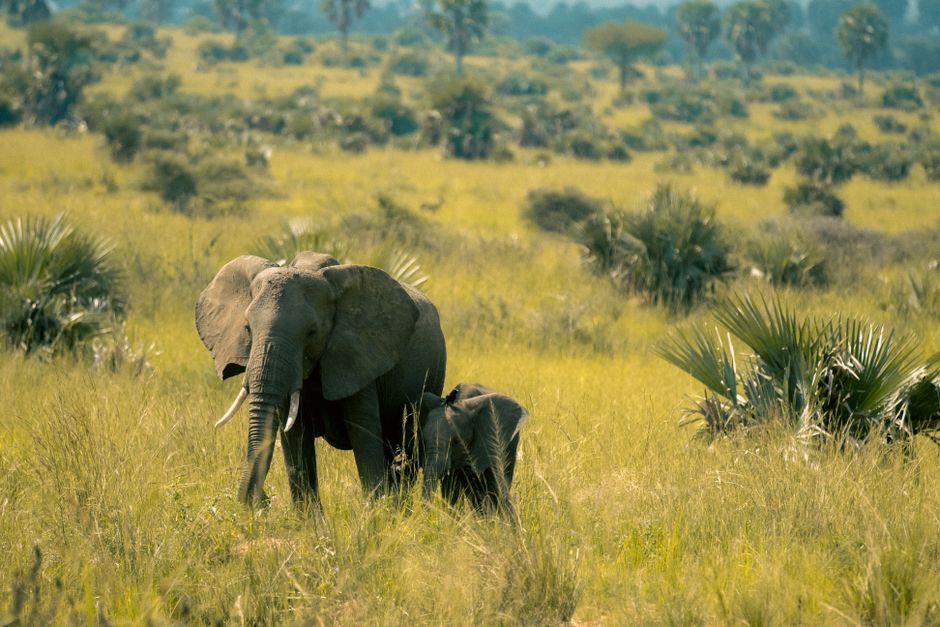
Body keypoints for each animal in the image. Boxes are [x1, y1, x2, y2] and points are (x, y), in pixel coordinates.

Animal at [196, 251, 447, 507]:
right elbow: (296, 443)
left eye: (311, 332)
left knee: (404, 454)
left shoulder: (360, 357)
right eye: (247, 328)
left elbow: (365, 441)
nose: (262, 500)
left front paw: (375, 512)